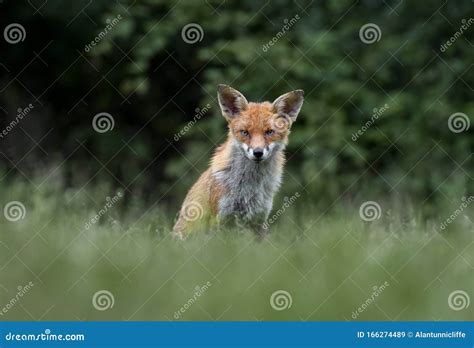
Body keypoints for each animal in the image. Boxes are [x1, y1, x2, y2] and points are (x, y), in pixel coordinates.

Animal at [173, 84, 304, 239]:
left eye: (269, 132)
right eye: (245, 132)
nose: (258, 153)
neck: (249, 187)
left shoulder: (259, 220)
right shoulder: (220, 218)